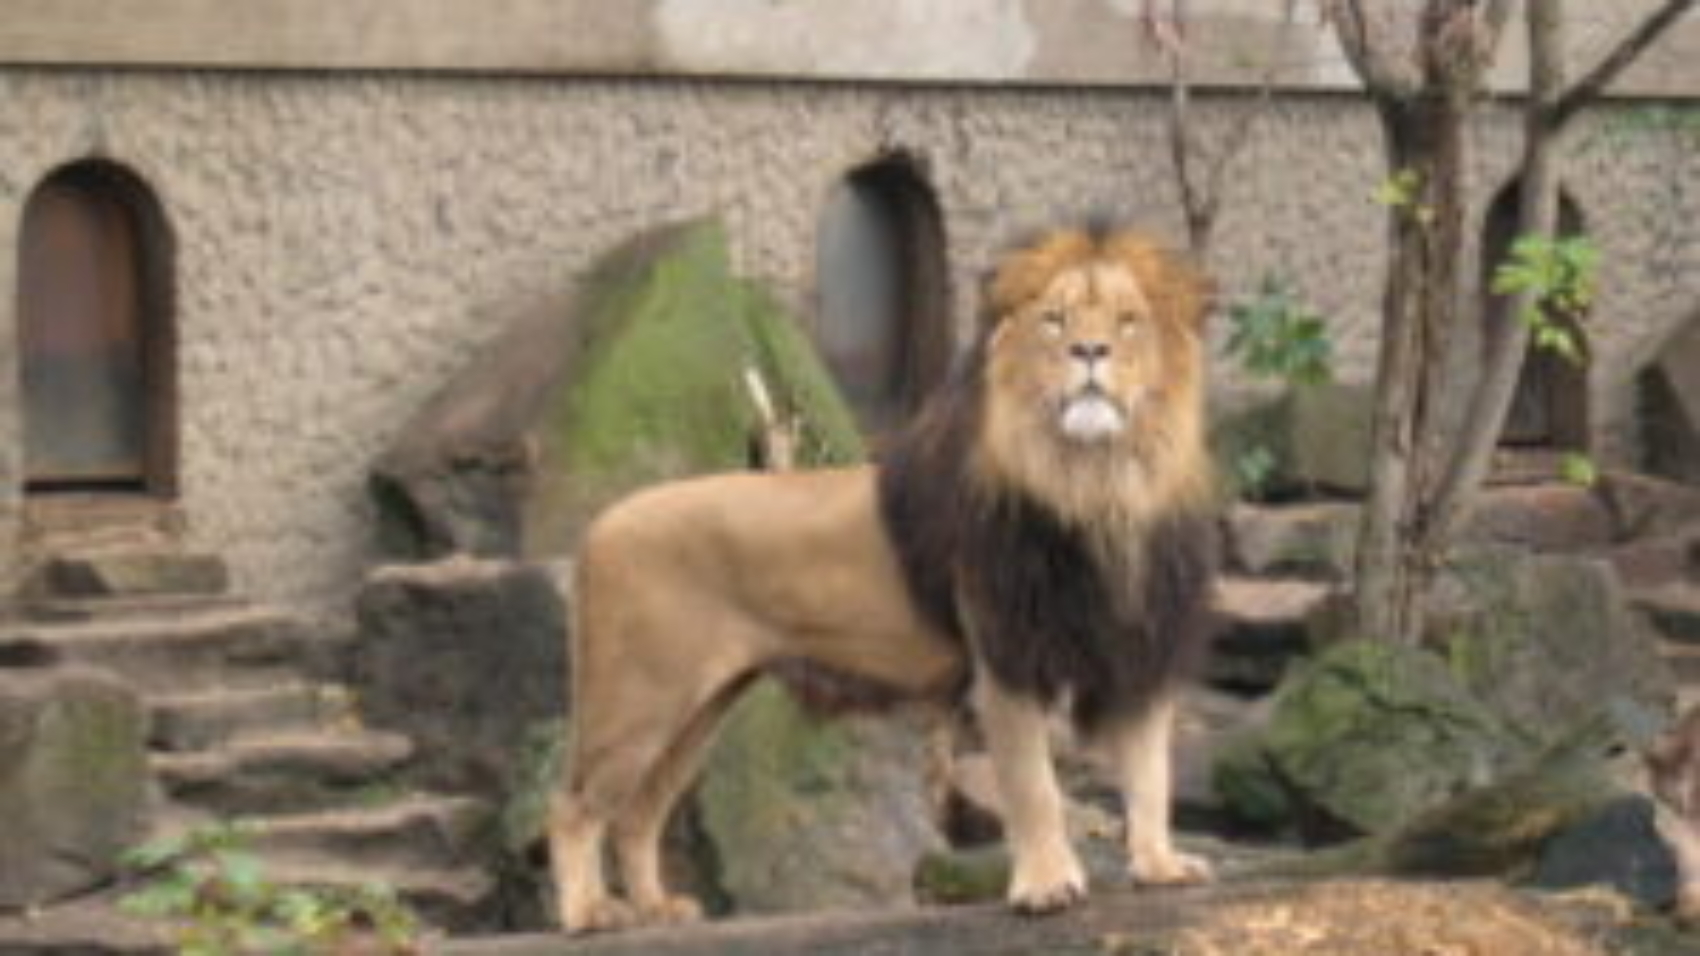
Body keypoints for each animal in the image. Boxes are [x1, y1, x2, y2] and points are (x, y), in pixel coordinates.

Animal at [548, 227, 1219, 934]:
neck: (1099, 483)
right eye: (1054, 320)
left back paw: (656, 908)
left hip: (698, 710)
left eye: (1129, 321)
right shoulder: (1004, 659)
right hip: (637, 699)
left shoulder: (1141, 648)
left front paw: (1160, 866)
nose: (1089, 352)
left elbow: (1150, 771)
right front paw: (1046, 886)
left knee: (637, 813)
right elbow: (1036, 787)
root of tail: (598, 525)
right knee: (572, 808)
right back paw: (589, 912)